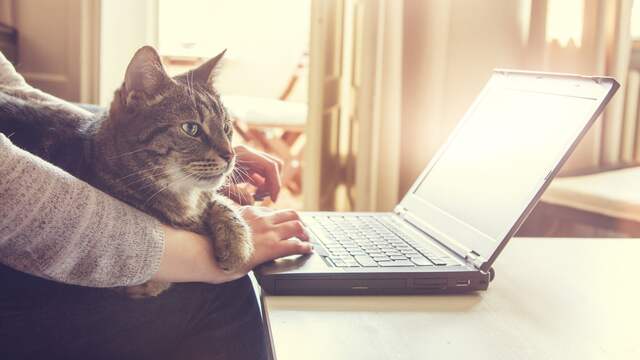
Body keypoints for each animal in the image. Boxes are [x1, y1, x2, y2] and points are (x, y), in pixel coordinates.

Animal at [0, 45, 255, 298]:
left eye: (227, 127)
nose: (231, 154)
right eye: (191, 128)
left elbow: (218, 202)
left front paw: (236, 241)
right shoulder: (136, 281)